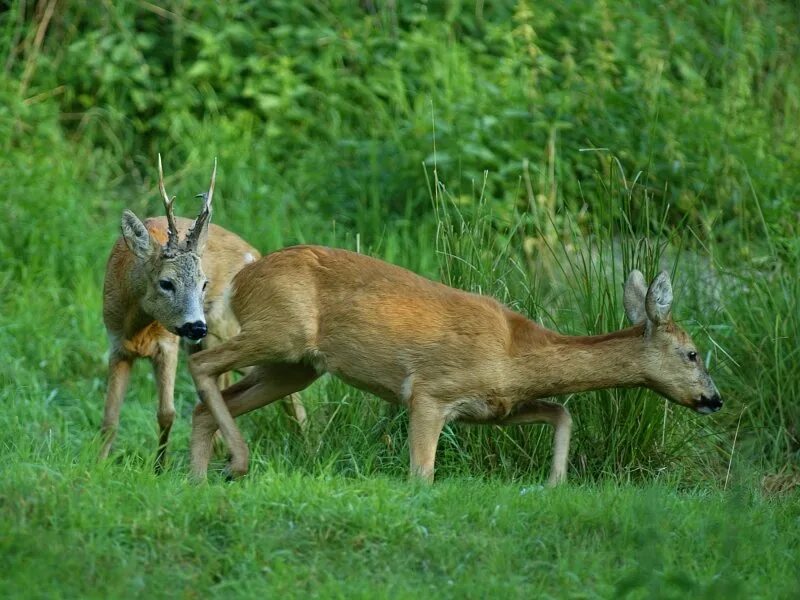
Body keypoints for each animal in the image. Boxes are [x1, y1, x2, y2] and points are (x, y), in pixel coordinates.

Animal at [97, 158, 304, 468]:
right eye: (166, 282)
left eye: (203, 283)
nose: (195, 326)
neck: (139, 326)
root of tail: (255, 253)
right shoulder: (117, 344)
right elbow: (110, 418)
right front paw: (97, 465)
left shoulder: (168, 344)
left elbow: (166, 413)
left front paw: (159, 468)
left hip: (223, 327)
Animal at [189, 246, 724, 486]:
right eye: (693, 353)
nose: (714, 399)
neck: (513, 353)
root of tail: (240, 279)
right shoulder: (430, 392)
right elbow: (421, 474)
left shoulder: (495, 408)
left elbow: (562, 412)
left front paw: (553, 484)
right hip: (281, 330)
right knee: (202, 362)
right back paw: (236, 462)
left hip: (297, 365)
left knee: (207, 400)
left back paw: (200, 476)